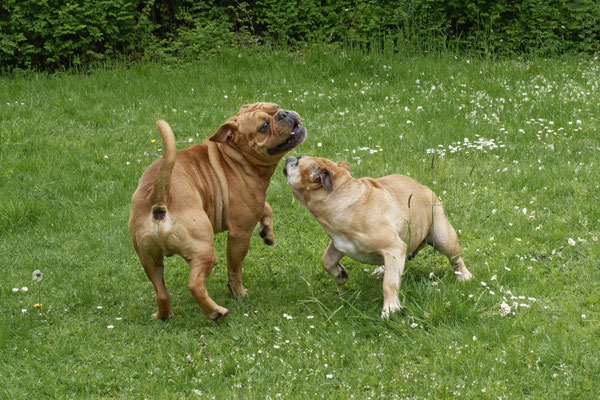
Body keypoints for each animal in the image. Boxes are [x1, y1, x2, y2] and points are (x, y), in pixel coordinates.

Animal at [129, 104, 308, 322]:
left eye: (276, 107)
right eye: (264, 126)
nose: (284, 113)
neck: (235, 155)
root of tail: (158, 198)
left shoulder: (255, 204)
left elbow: (267, 207)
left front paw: (267, 232)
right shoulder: (240, 234)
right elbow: (234, 270)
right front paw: (238, 293)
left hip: (149, 259)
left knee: (161, 293)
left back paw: (164, 315)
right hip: (203, 249)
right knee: (195, 285)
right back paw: (216, 312)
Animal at [284, 156, 474, 318]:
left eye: (298, 161)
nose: (288, 157)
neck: (342, 194)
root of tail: (425, 188)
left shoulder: (394, 248)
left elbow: (389, 284)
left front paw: (391, 308)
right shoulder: (339, 245)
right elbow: (327, 261)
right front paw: (340, 275)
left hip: (443, 237)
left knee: (455, 259)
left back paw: (464, 276)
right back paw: (382, 268)